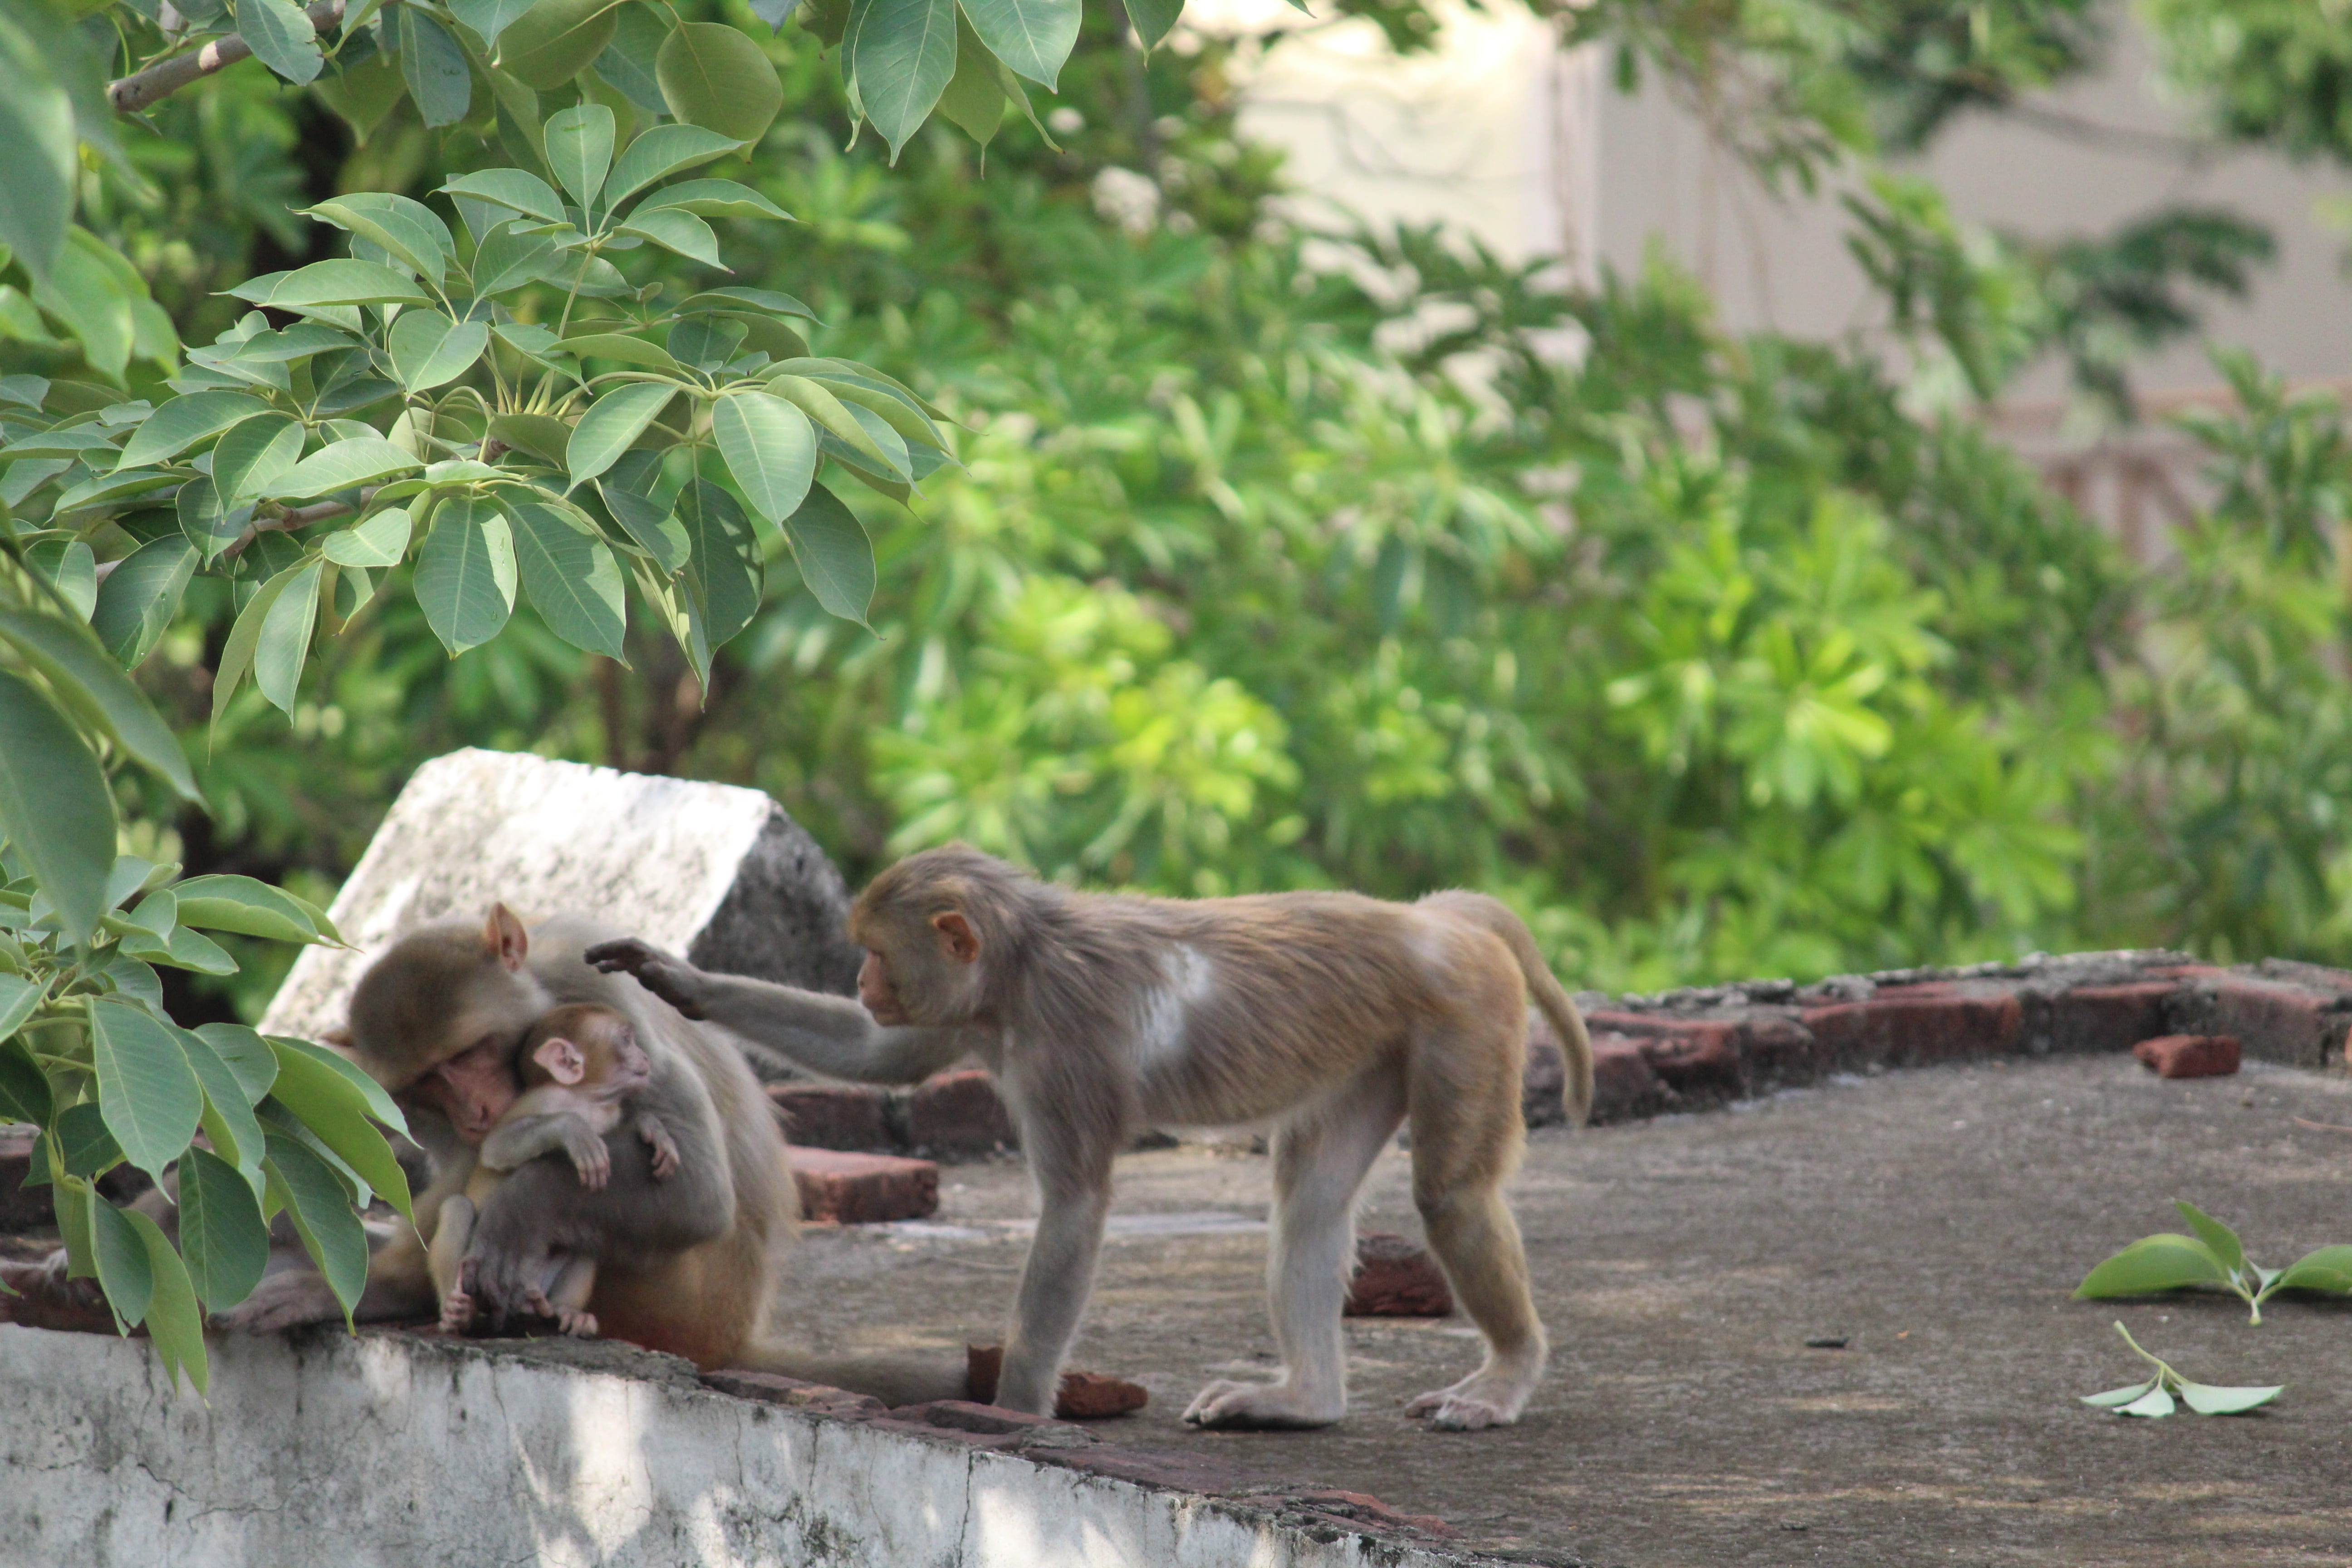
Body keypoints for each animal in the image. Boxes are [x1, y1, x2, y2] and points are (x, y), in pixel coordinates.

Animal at [429, 1003, 682, 1337]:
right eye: (627, 1039)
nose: (645, 1057)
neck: (589, 1100)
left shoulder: (610, 1114)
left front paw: (652, 1128)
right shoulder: (548, 1099)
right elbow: (497, 1146)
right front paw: (571, 1128)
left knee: (586, 1243)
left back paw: (566, 1311)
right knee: (458, 1206)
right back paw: (459, 1312)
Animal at [588, 843, 1595, 1432]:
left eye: (875, 951)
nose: (864, 978)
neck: (1020, 964)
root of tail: (1432, 920)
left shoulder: (1059, 1045)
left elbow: (1073, 1207)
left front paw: (1017, 1412)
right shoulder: (977, 1017)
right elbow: (880, 1054)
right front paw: (679, 982)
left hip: (1462, 1015)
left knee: (1449, 1196)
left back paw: (1505, 1376)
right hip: (1370, 1052)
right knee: (1309, 1208)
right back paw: (1304, 1403)